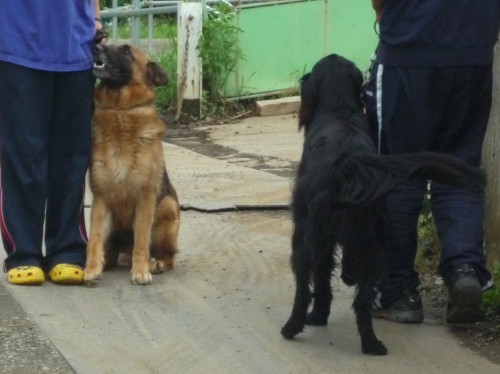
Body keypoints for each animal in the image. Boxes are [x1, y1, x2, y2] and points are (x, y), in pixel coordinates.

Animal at [84, 43, 180, 286]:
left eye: (126, 51)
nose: (95, 45)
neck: (121, 110)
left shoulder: (145, 198)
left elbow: (141, 241)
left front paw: (140, 271)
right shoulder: (101, 200)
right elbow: (94, 239)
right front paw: (91, 269)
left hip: (166, 207)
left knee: (167, 257)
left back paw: (156, 263)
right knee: (110, 251)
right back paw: (107, 262)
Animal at [280, 54, 486, 356]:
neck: (340, 110)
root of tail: (348, 165)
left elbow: (321, 279)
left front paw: (317, 317)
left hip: (307, 238)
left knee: (303, 289)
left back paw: (292, 328)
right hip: (371, 244)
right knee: (362, 301)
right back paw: (372, 343)